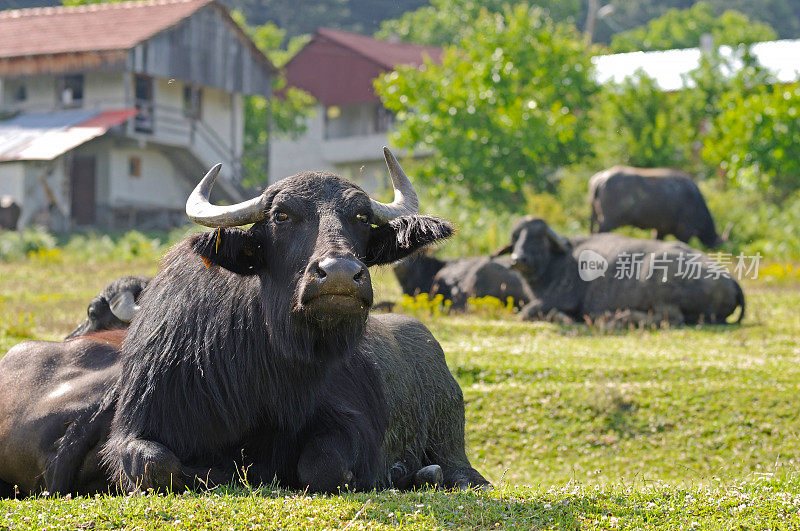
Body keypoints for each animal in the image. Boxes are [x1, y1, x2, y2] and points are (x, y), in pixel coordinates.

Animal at [100, 149, 488, 494]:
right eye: (281, 216)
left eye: (362, 217)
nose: (340, 274)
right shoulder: (138, 424)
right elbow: (156, 463)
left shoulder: (352, 422)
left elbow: (323, 466)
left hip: (450, 438)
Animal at [496, 218, 748, 326]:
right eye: (515, 238)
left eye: (538, 238)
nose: (518, 259)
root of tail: (731, 280)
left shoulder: (558, 299)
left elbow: (527, 311)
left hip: (658, 279)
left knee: (671, 318)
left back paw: (618, 318)